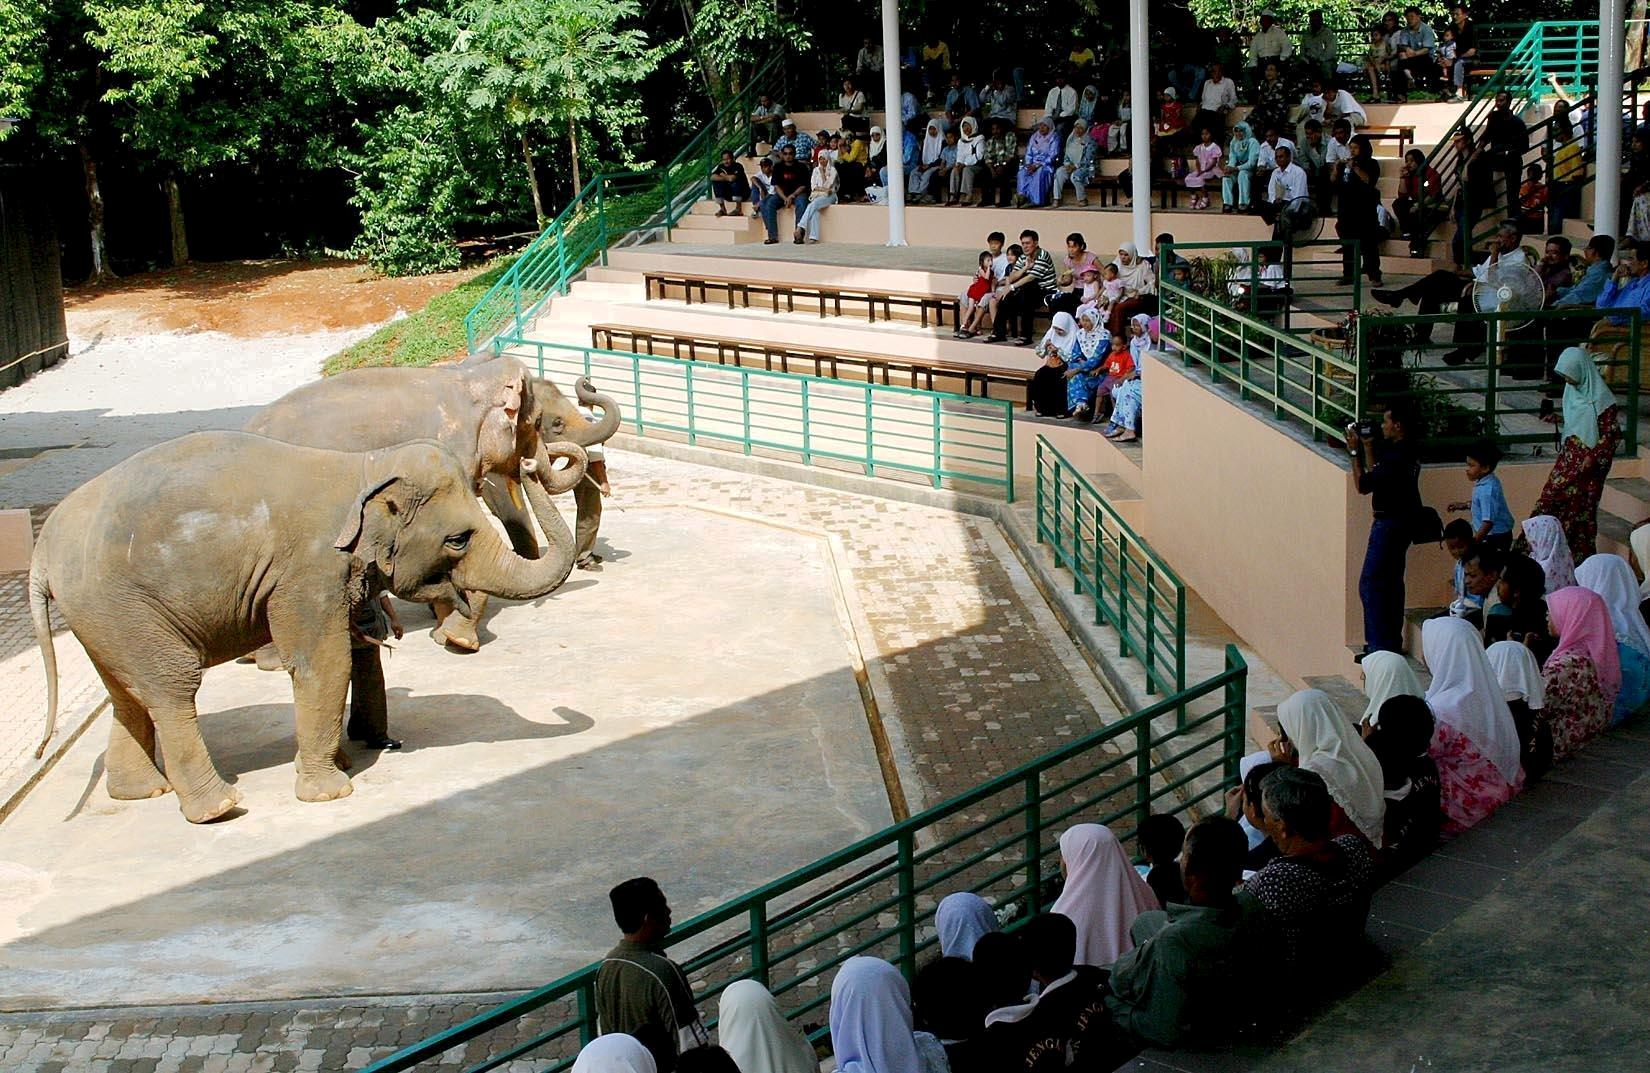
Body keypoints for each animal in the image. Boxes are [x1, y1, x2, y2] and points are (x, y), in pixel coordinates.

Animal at [27, 429, 587, 822]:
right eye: (457, 540)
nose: (535, 461)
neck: (364, 464)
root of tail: (42, 551)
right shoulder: (308, 570)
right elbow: (323, 662)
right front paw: (331, 790)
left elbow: (354, 646)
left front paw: (349, 755)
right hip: (124, 605)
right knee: (171, 687)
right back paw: (218, 808)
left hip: (101, 616)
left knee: (126, 694)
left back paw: (141, 791)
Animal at [247, 354, 620, 647]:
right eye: (547, 422)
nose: (530, 463)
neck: (469, 375)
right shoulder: (452, 450)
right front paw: (457, 638)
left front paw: (442, 622)